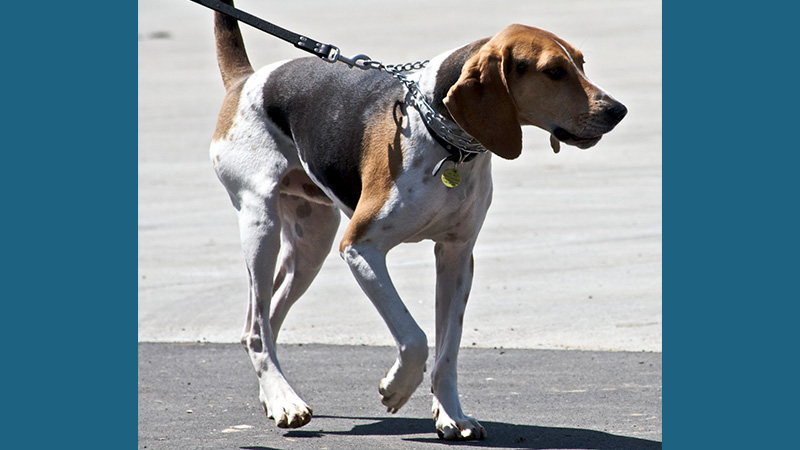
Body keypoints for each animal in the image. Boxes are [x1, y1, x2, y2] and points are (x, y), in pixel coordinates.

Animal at [208, 0, 624, 440]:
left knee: (265, 320)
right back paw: (285, 401)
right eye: (554, 71)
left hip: (311, 244)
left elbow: (448, 350)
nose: (618, 110)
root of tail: (247, 79)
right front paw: (396, 388)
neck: (446, 140)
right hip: (262, 226)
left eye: (580, 63)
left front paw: (451, 414)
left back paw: (275, 397)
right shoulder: (361, 247)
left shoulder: (457, 257)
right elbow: (415, 338)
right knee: (257, 328)